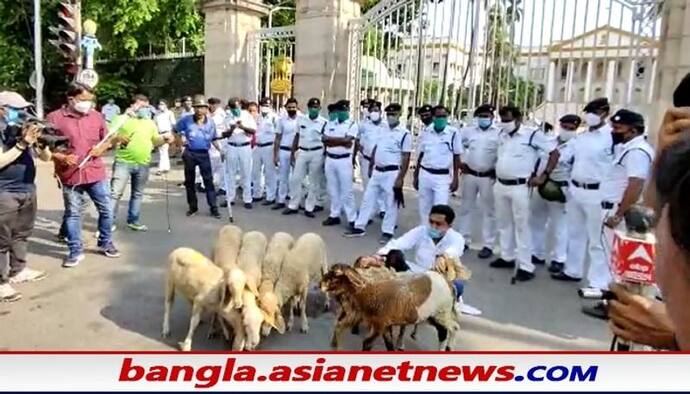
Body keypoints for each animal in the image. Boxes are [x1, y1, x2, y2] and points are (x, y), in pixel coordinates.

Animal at [320, 264, 460, 350]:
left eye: (336, 276)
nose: (320, 284)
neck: (369, 291)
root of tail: (448, 283)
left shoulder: (379, 324)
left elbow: (367, 343)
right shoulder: (385, 325)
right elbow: (389, 344)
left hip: (441, 313)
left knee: (450, 329)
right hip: (432, 316)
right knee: (447, 330)